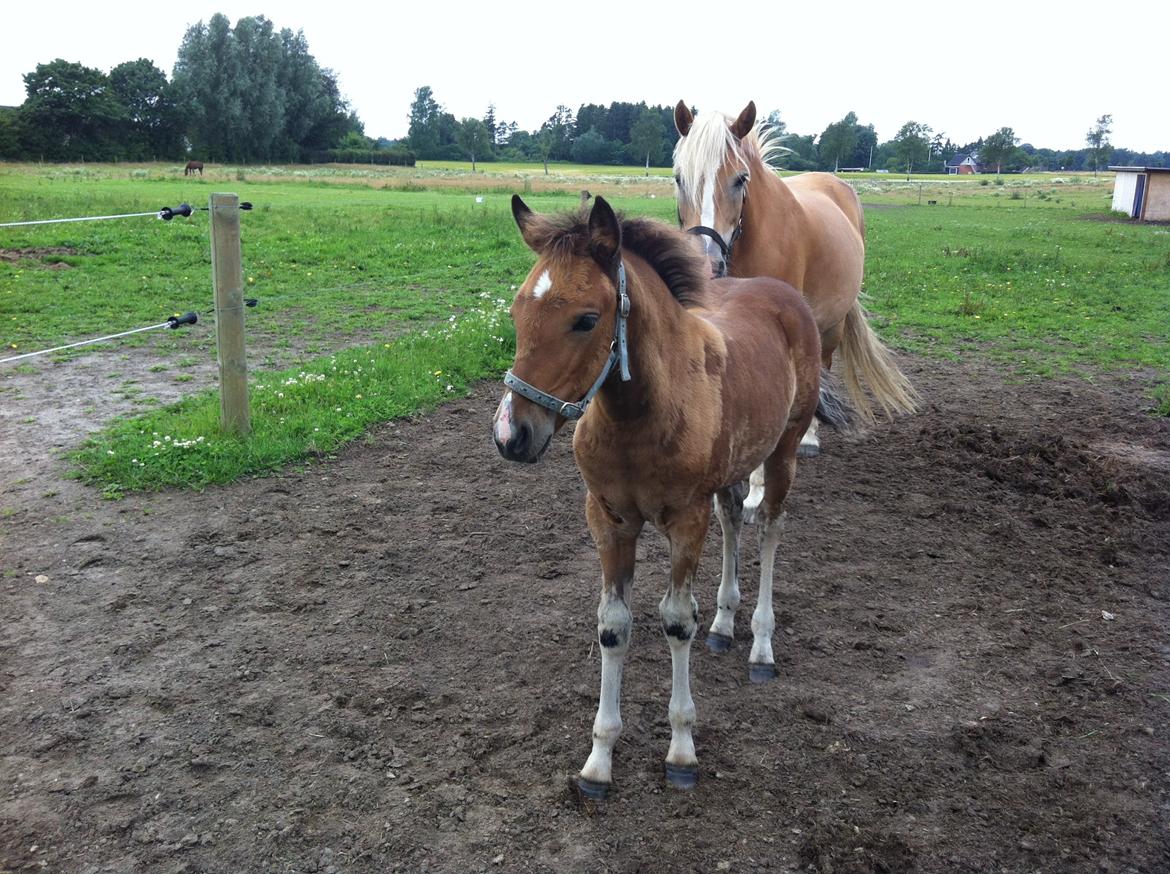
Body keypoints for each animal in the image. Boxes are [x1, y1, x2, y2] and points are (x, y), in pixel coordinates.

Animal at [493, 196, 851, 800]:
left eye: (586, 319)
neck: (639, 416)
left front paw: (682, 750)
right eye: (518, 312)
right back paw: (724, 625)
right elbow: (614, 625)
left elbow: (676, 621)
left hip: (781, 453)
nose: (510, 435)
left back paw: (760, 645)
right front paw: (598, 760)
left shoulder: (685, 520)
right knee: (733, 518)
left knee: (769, 529)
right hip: (730, 469)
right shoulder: (609, 519)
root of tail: (785, 296)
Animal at [673, 100, 917, 465]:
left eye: (740, 179)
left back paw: (810, 437)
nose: (707, 263)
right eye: (679, 178)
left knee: (823, 366)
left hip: (830, 326)